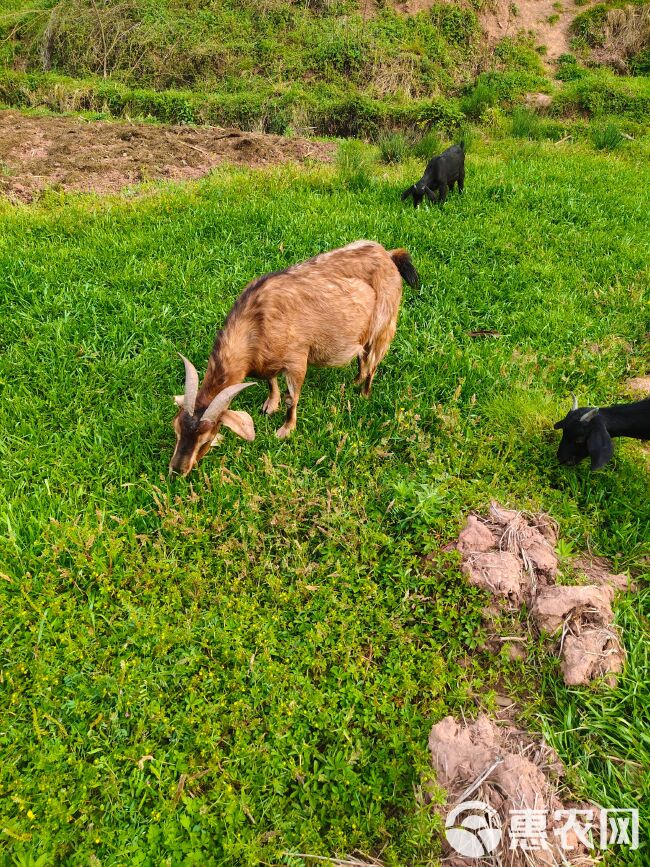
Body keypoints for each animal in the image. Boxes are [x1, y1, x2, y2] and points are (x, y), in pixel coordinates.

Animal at [170, 241, 418, 478]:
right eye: (176, 429)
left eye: (207, 438)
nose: (177, 471)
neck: (255, 322)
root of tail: (388, 255)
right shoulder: (267, 359)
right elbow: (270, 381)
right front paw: (270, 405)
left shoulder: (297, 358)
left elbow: (293, 398)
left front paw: (285, 430)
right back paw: (355, 381)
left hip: (384, 324)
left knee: (372, 362)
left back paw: (364, 393)